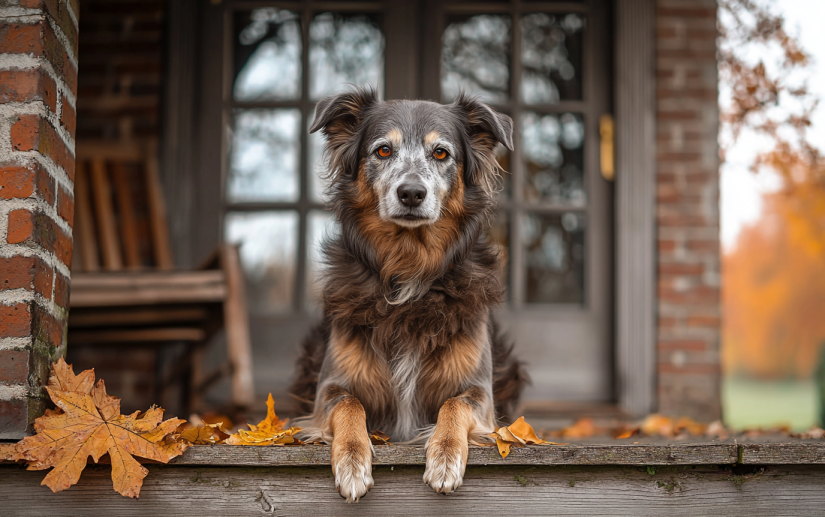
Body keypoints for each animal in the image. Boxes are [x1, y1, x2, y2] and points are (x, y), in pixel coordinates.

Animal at [286, 87, 524, 500]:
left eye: (441, 153)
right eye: (383, 150)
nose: (411, 192)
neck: (410, 266)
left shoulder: (479, 393)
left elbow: (455, 404)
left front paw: (445, 456)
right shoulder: (330, 388)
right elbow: (349, 404)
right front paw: (352, 461)